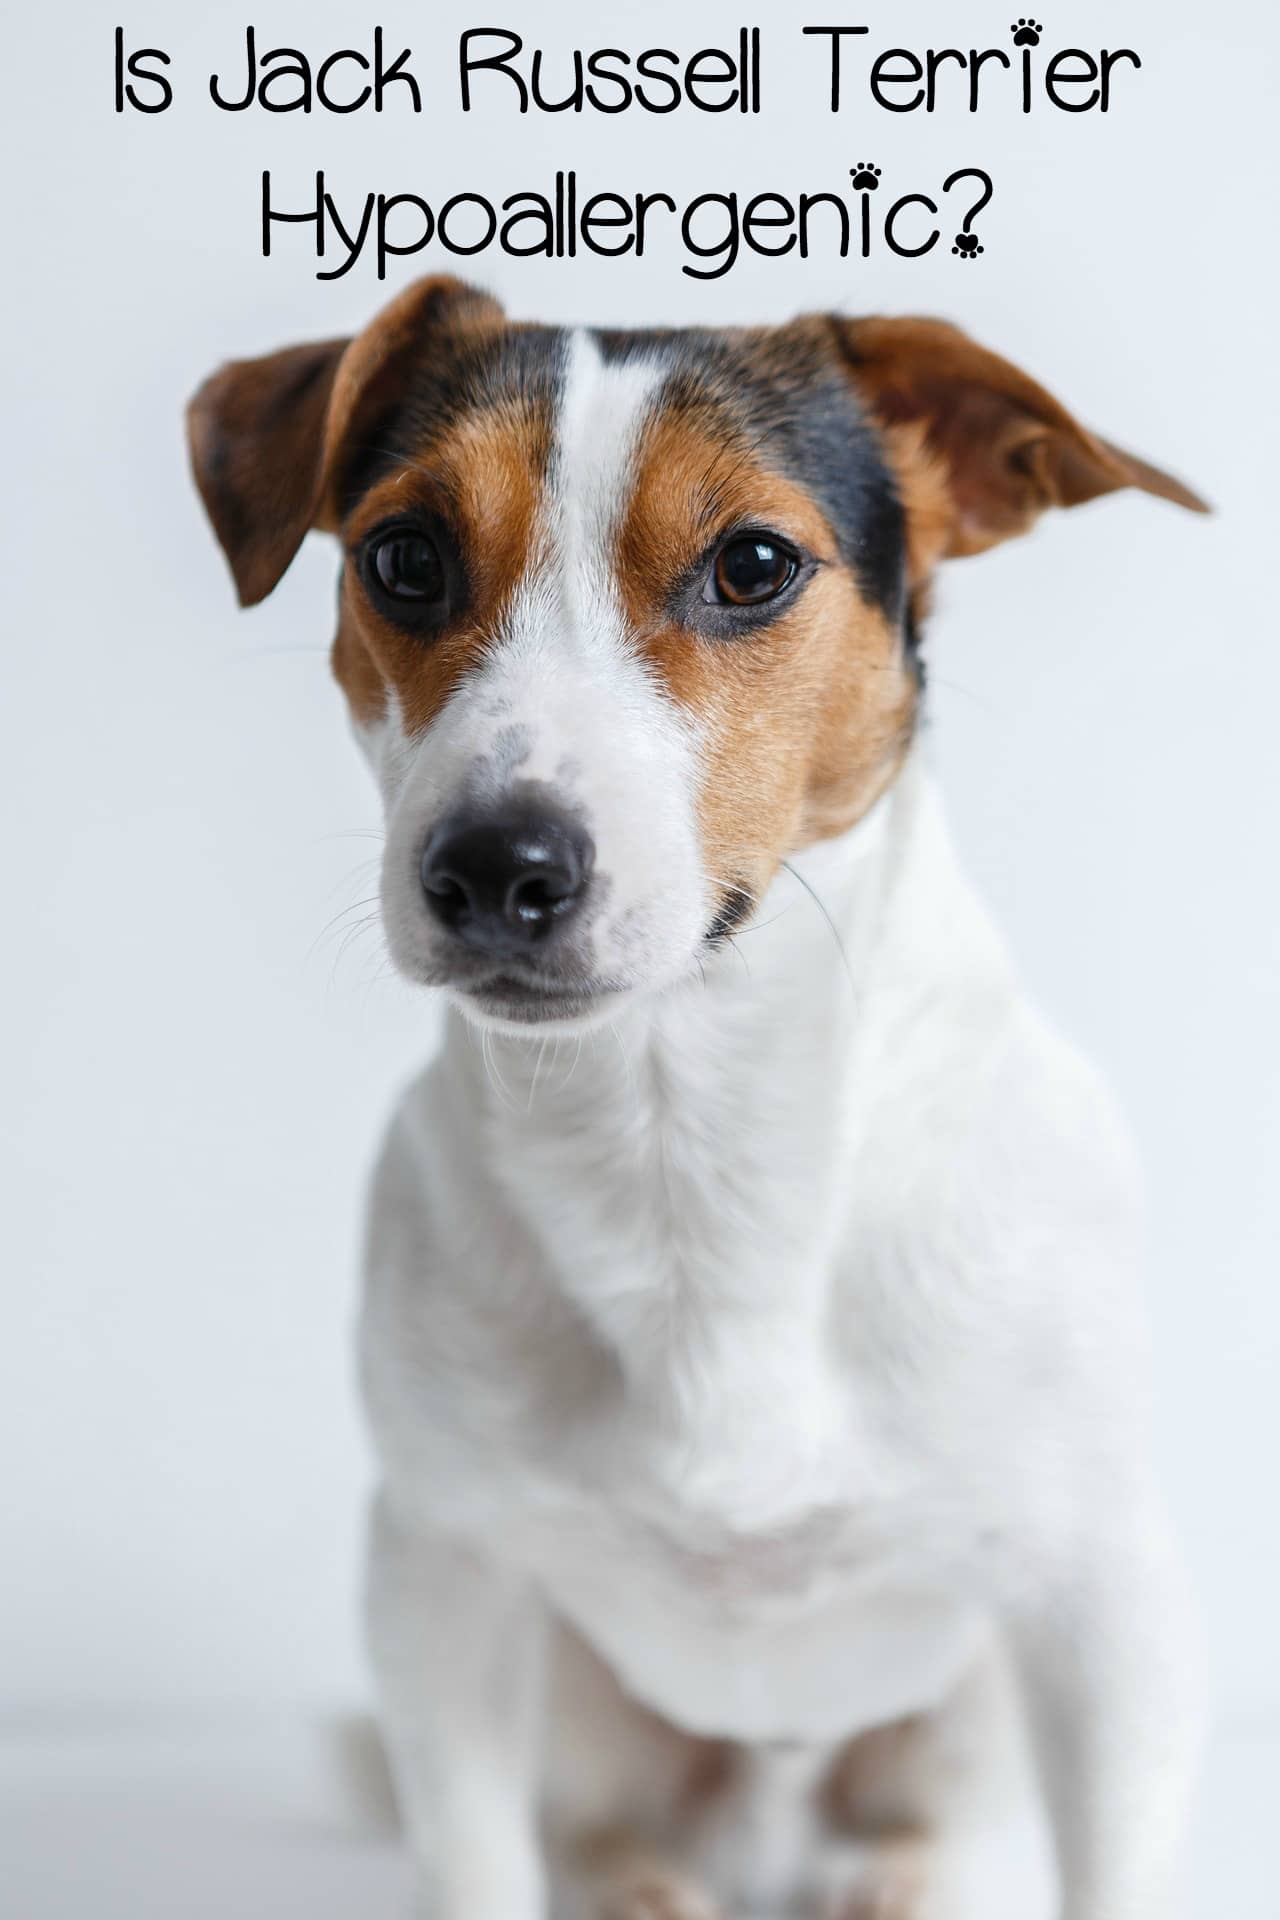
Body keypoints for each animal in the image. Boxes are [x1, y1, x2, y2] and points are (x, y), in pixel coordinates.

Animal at [185, 280, 1205, 1920]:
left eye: (754, 565)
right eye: (404, 557)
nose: (495, 866)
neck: (683, 1125)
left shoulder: (1104, 1607)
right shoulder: (443, 1586)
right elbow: (475, 1863)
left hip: (967, 1707)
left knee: (918, 1828)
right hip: (575, 1704)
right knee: (604, 1833)